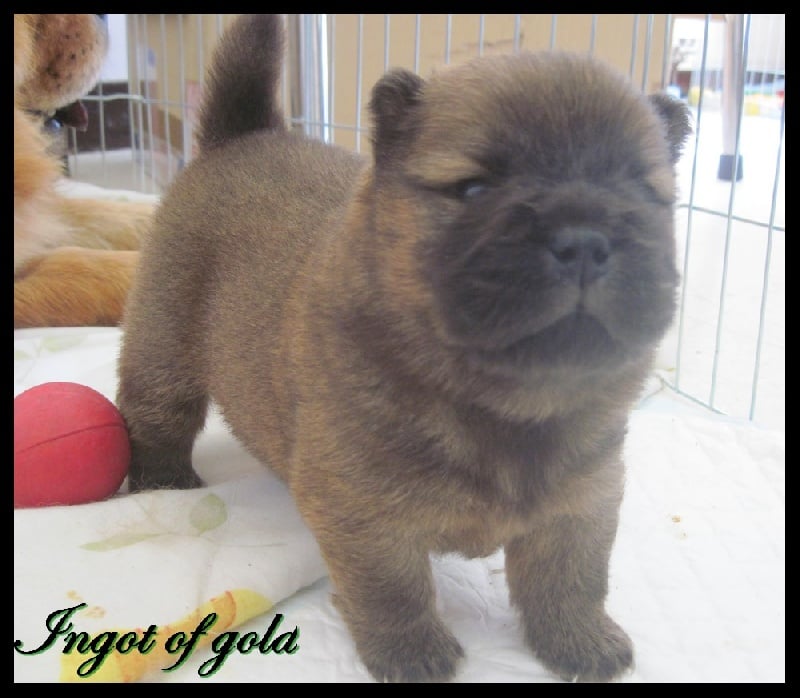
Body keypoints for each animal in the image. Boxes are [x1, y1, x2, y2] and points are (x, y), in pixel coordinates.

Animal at [117, 14, 691, 682]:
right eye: (474, 189)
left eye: (642, 192)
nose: (584, 239)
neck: (503, 408)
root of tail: (245, 136)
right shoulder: (364, 511)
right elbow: (393, 590)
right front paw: (412, 652)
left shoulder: (583, 499)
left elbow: (571, 580)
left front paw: (580, 639)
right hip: (164, 347)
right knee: (155, 416)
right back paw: (164, 481)